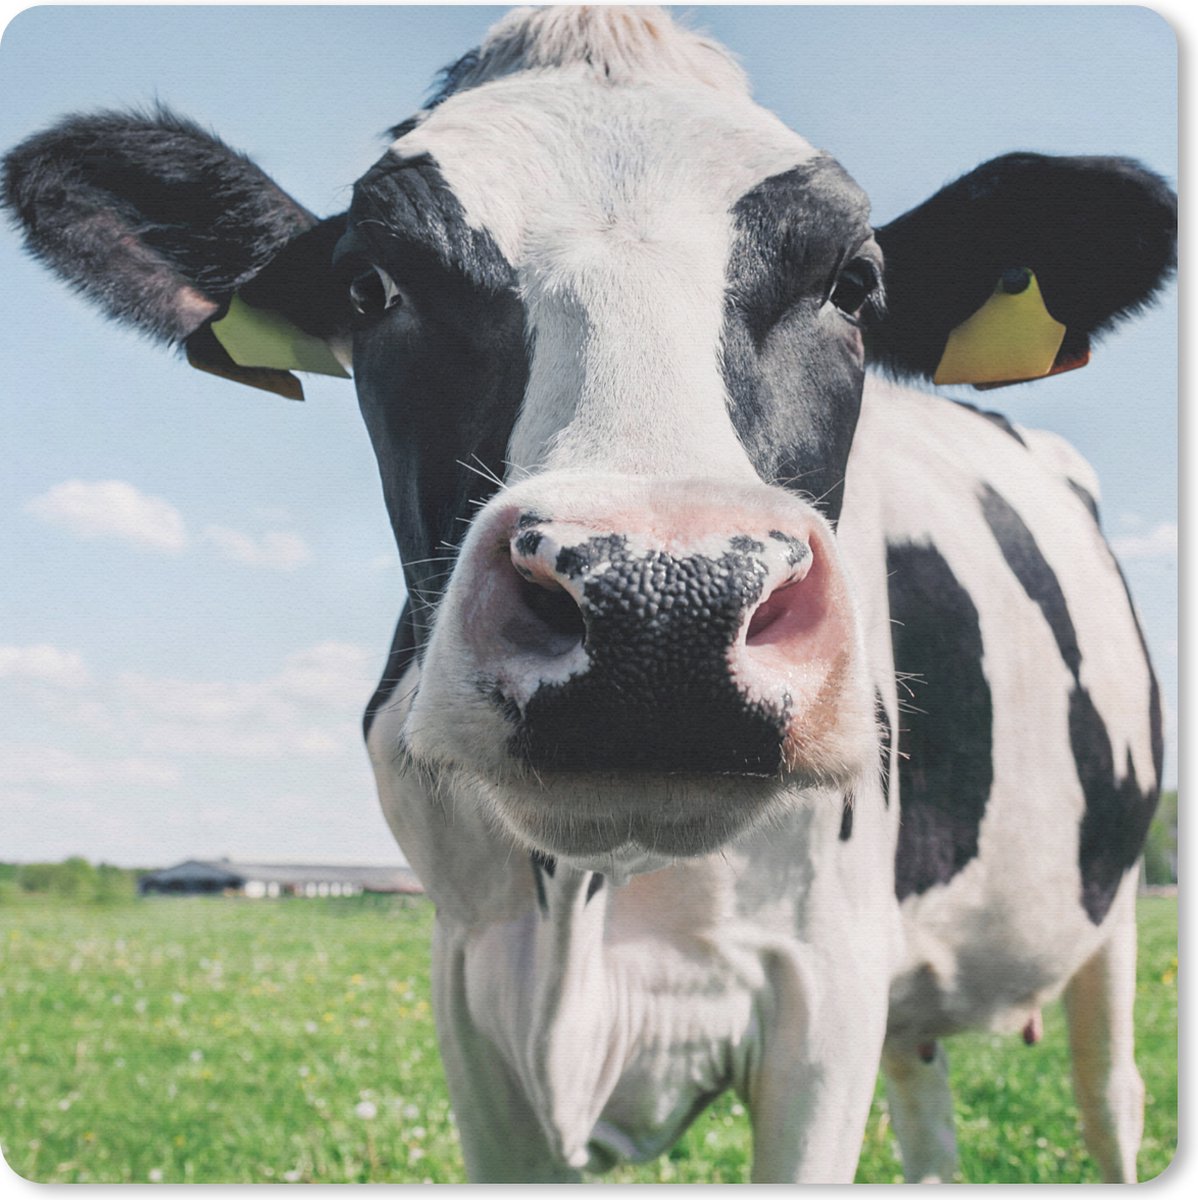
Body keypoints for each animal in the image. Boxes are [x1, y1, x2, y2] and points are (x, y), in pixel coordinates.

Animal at [2, 5, 1175, 1184]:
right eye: (372, 285)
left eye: (852, 284)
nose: (666, 609)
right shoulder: (472, 991)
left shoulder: (825, 982)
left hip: (1113, 908)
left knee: (1110, 1096)